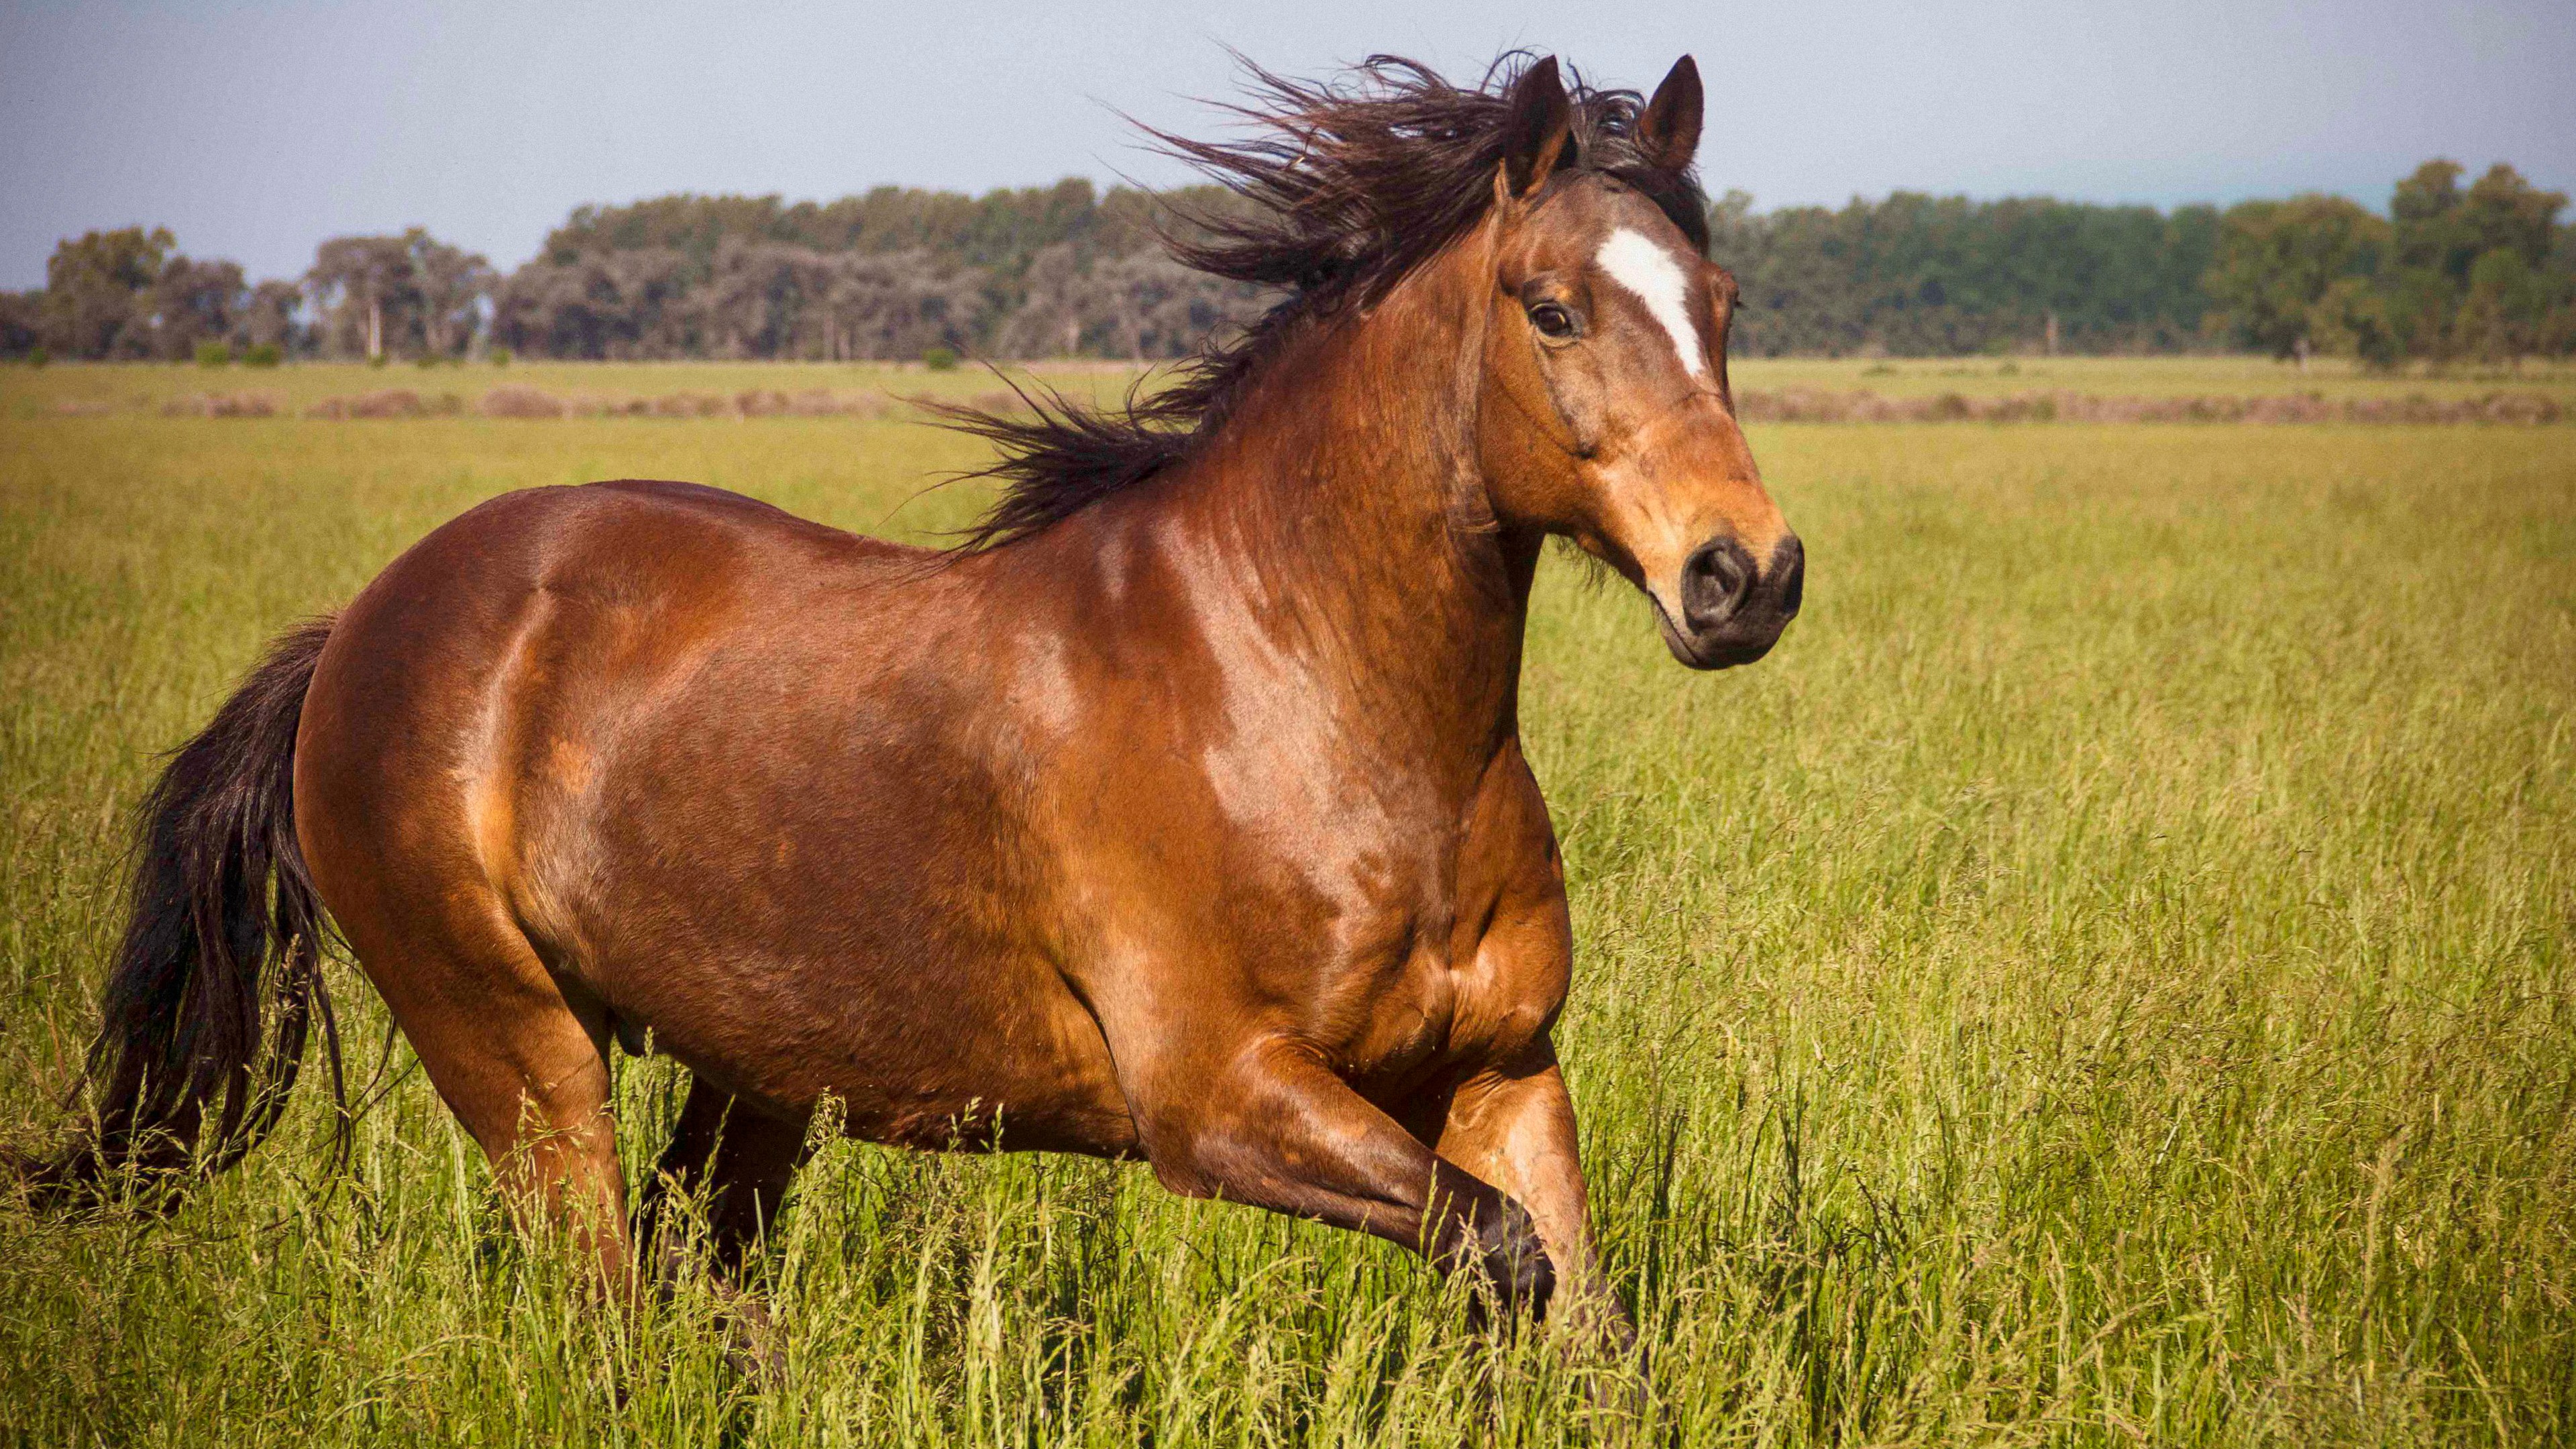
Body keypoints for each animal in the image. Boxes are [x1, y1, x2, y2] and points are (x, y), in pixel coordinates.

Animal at [25, 56, 1792, 1340]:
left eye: (1720, 306)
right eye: (1554, 309)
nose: (1744, 576)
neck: (1307, 701)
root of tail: (361, 628)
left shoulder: (1501, 1071)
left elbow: (1579, 1310)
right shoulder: (1220, 1099)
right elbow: (1501, 1259)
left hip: (750, 1078)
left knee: (698, 1295)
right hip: (518, 1053)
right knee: (606, 1313)